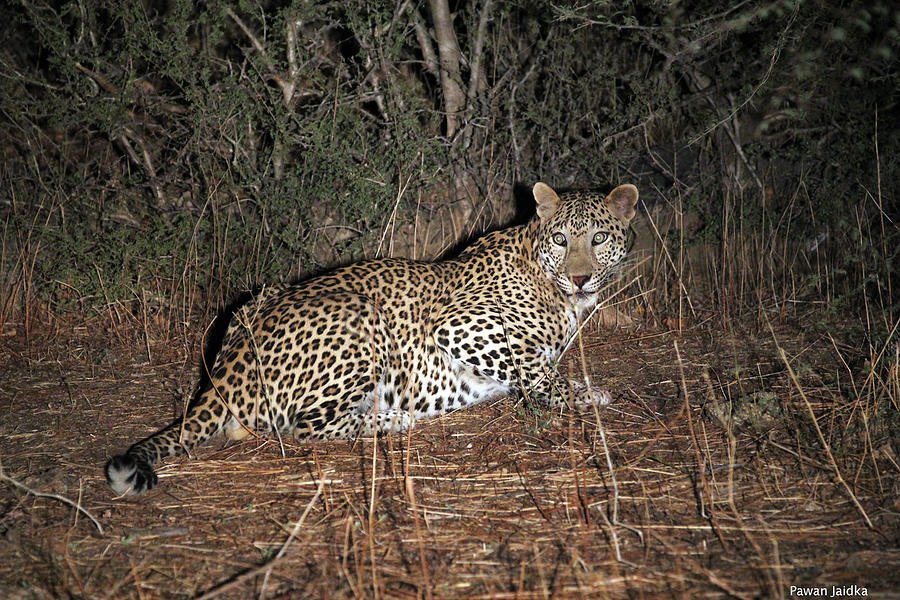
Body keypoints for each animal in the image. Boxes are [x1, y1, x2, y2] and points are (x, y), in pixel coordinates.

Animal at [107, 180, 640, 494]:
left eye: (598, 238)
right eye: (561, 239)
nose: (579, 278)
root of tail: (224, 374)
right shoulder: (458, 324)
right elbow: (534, 366)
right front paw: (580, 394)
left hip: (260, 294)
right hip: (361, 319)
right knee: (306, 427)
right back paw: (393, 420)